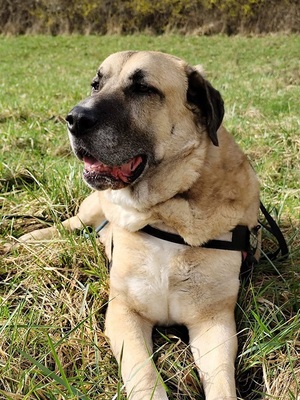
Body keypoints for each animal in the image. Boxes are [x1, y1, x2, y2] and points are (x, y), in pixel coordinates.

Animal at [14, 51, 258, 398]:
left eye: (143, 88)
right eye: (96, 83)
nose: (74, 118)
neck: (169, 214)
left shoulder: (214, 321)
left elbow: (222, 380)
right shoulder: (124, 312)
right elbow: (144, 374)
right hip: (92, 208)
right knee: (68, 224)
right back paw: (26, 241)